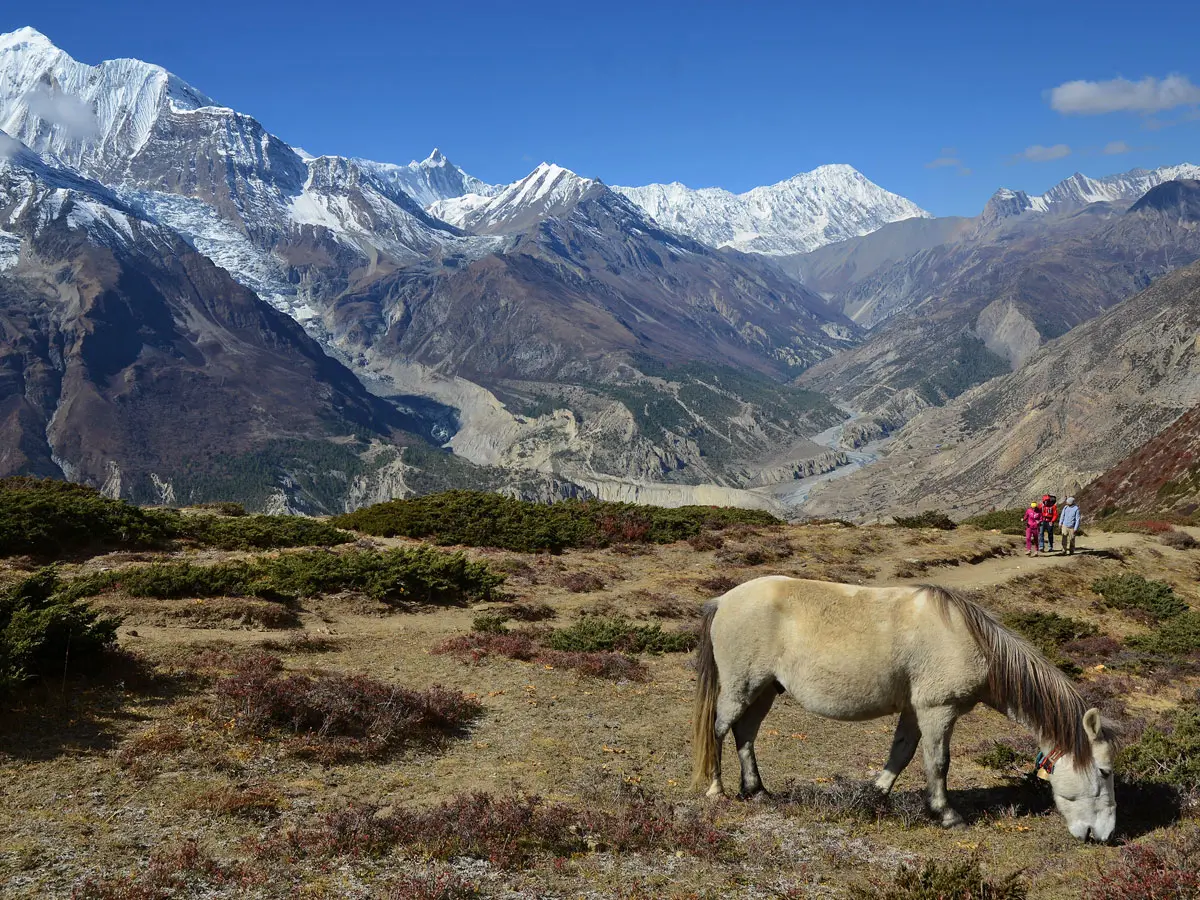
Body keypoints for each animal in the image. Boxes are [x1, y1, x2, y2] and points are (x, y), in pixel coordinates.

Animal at [691, 576, 1117, 840]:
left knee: (745, 734)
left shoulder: (915, 711)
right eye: (1105, 771)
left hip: (764, 690)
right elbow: (938, 763)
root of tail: (723, 601)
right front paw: (947, 815)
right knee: (718, 729)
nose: (1104, 835)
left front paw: (873, 798)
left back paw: (757, 791)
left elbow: (900, 754)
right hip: (741, 687)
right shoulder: (937, 709)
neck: (971, 640)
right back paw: (716, 790)